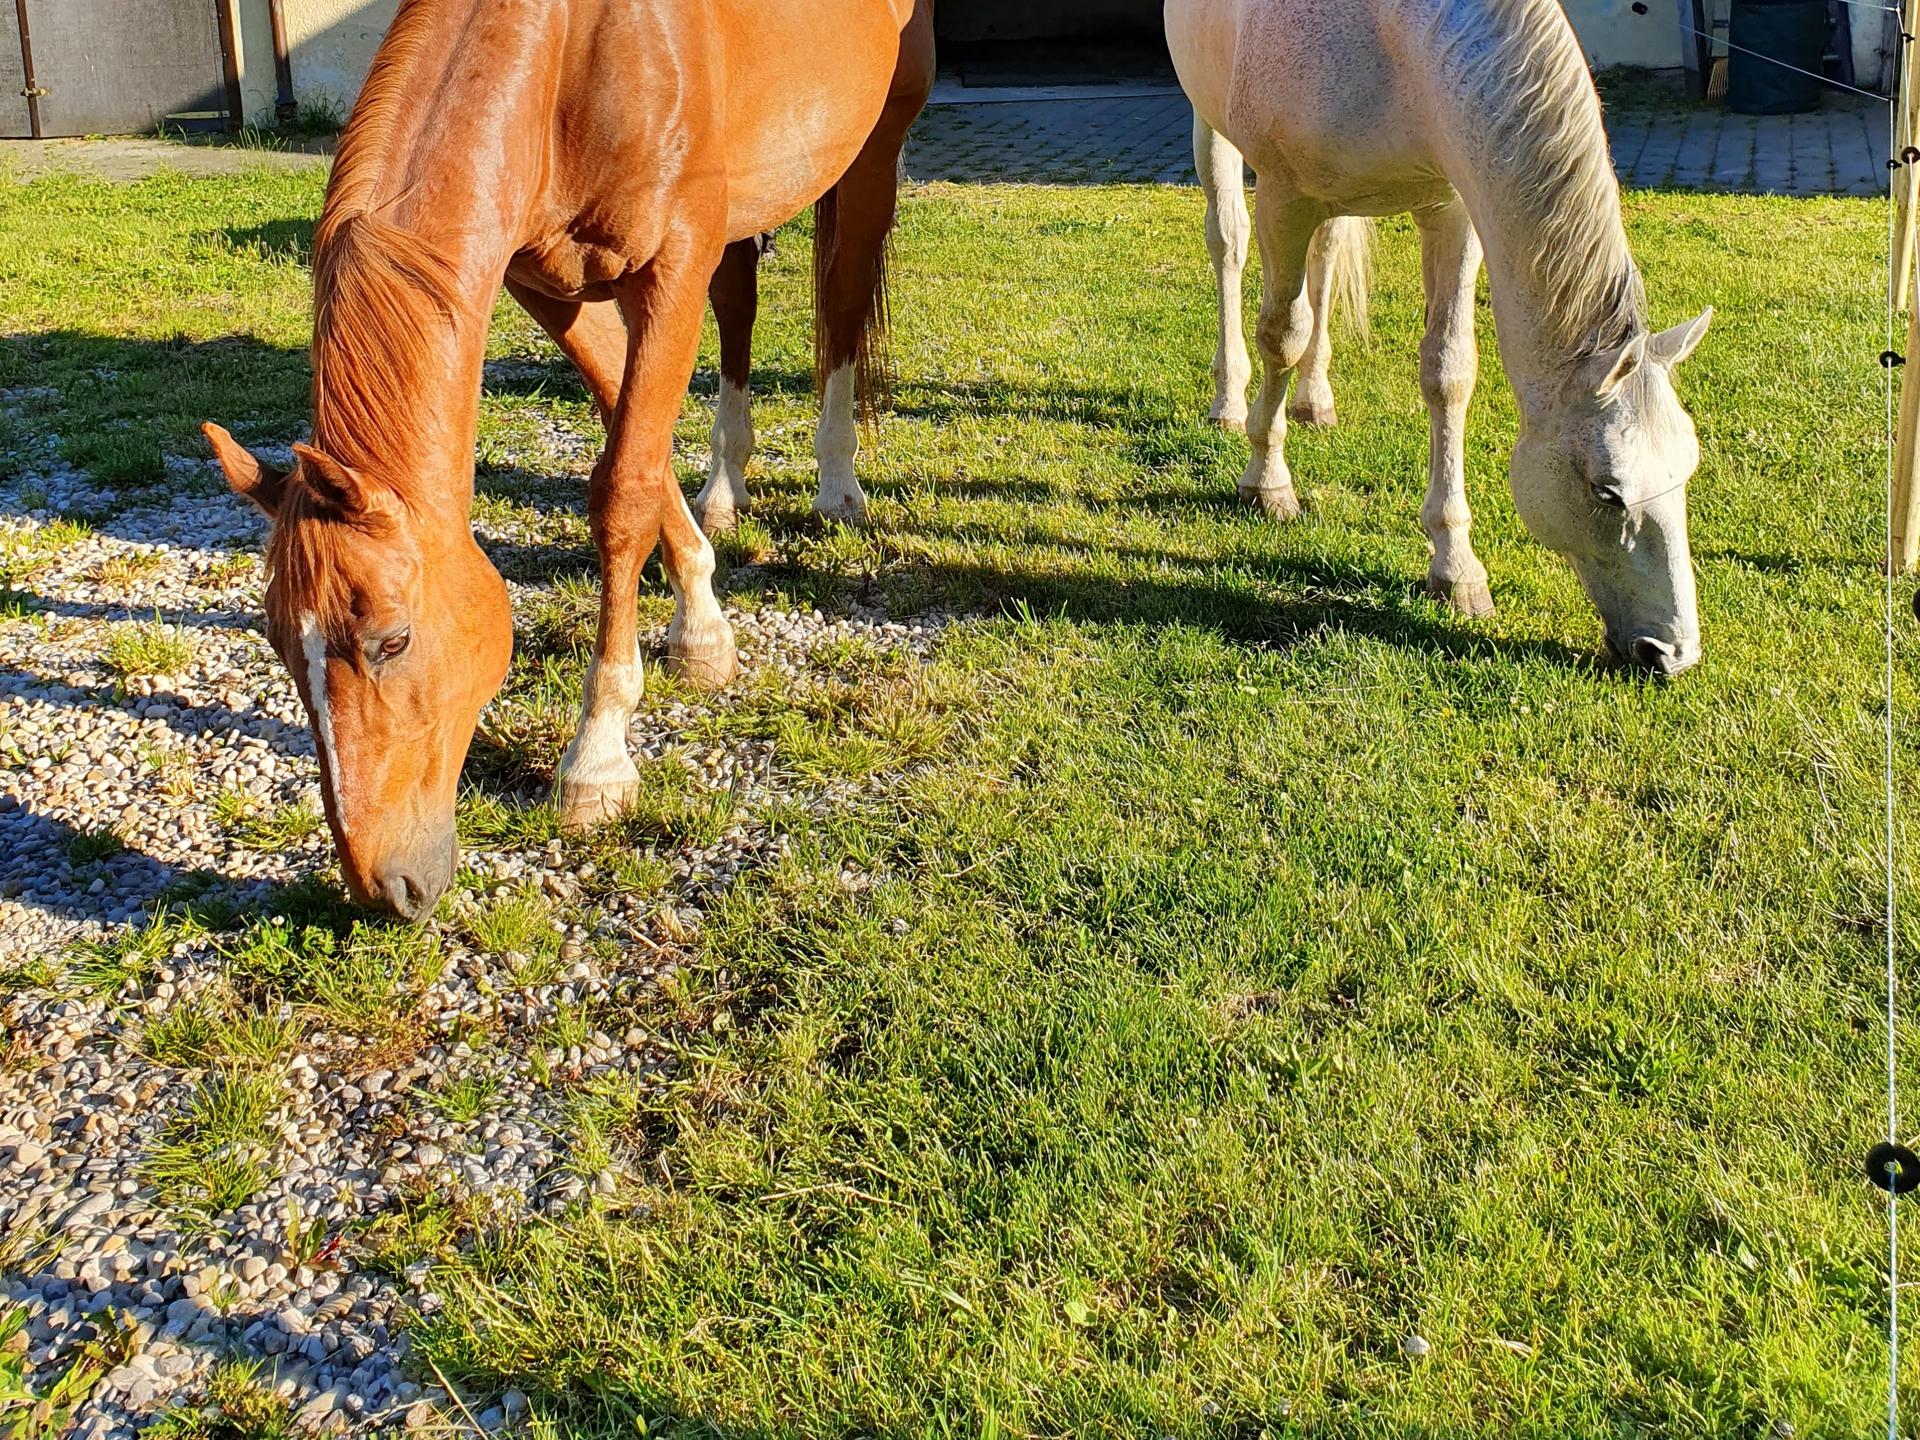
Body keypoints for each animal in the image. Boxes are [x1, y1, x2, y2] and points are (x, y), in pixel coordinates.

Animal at [203, 0, 935, 919]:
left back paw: (838, 484)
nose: (386, 886)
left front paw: (598, 758)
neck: (572, 52)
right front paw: (702, 623)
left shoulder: (671, 264)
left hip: (872, 148)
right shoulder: (547, 284)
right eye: (273, 639)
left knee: (840, 299)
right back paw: (726, 487)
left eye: (391, 641)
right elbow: (635, 445)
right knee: (740, 306)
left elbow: (621, 491)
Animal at [1168, 0, 1712, 675]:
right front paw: (1267, 483)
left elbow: (1448, 373)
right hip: (1217, 132)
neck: (1396, 43)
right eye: (1606, 492)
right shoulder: (1284, 199)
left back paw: (1314, 400)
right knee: (1229, 243)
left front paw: (1456, 570)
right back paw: (1228, 401)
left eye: (1687, 466)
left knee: (1326, 261)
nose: (1672, 652)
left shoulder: (1451, 211)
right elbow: (1281, 336)